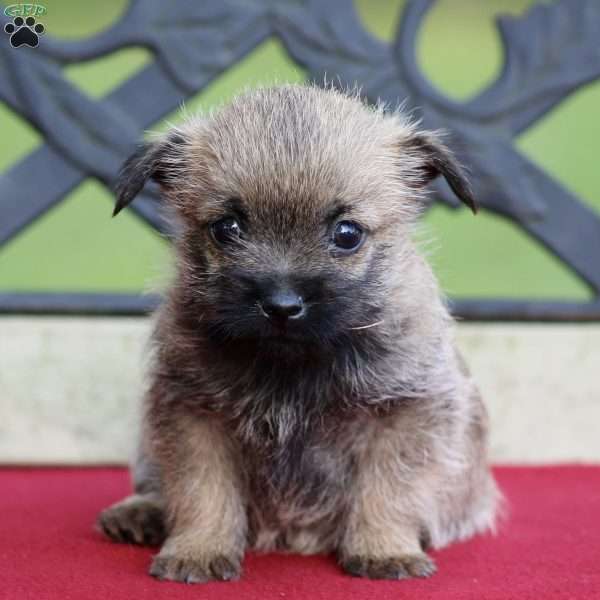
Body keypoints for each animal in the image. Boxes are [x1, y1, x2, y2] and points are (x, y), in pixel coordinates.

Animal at [99, 84, 502, 580]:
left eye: (347, 233)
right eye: (226, 228)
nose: (282, 305)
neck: (293, 363)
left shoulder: (407, 413)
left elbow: (389, 487)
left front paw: (383, 549)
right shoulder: (193, 414)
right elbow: (202, 488)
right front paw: (199, 549)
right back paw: (141, 511)